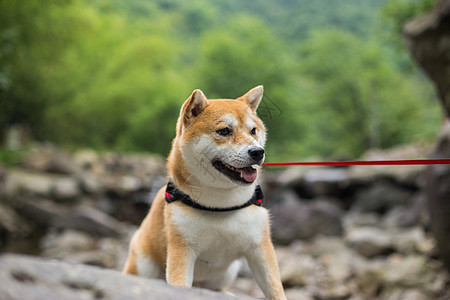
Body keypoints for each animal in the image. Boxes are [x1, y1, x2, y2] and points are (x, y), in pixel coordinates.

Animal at [123, 85, 284, 298]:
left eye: (253, 131)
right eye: (224, 131)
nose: (257, 152)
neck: (220, 206)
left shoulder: (260, 248)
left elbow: (276, 290)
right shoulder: (182, 249)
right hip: (144, 263)